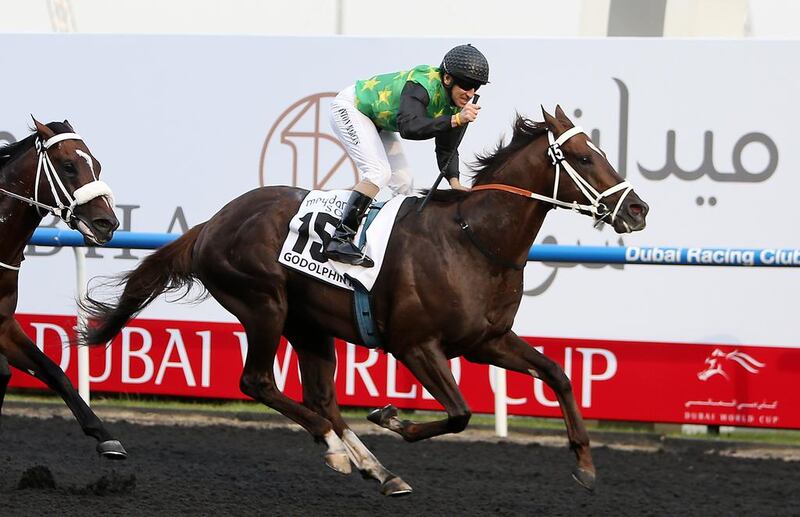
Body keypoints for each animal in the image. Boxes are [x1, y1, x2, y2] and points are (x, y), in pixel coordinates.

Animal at [0, 119, 126, 458]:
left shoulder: (4, 324)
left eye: (96, 165)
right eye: (68, 166)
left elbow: (53, 370)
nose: (106, 223)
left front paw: (105, 436)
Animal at [81, 107, 648, 494]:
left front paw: (584, 465)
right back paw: (338, 451)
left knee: (322, 398)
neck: (473, 240)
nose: (638, 209)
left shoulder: (487, 340)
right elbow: (460, 412)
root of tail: (211, 224)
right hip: (264, 305)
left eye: (601, 153)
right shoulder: (415, 344)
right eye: (583, 158)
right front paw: (392, 417)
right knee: (258, 382)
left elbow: (557, 374)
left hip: (308, 325)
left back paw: (377, 469)